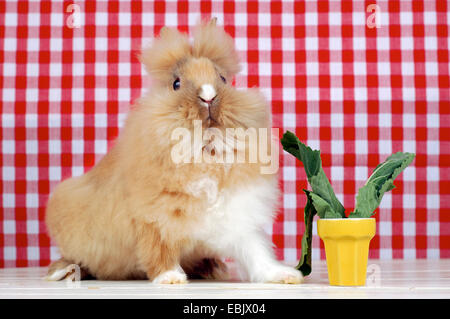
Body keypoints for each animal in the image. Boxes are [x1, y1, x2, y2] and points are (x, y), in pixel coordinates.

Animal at [45, 18, 302, 284]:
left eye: (223, 79)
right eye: (176, 84)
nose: (208, 96)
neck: (206, 150)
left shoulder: (238, 218)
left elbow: (256, 252)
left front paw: (284, 275)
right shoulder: (154, 220)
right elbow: (159, 251)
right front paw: (170, 278)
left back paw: (213, 268)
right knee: (78, 259)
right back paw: (65, 272)